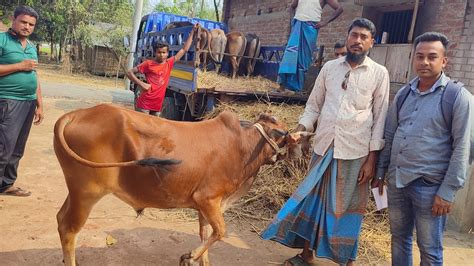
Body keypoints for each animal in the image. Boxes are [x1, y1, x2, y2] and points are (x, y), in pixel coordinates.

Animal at [53, 104, 310, 266]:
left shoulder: (206, 206)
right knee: (69, 229)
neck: (243, 146)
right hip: (88, 192)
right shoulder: (208, 199)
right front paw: (189, 257)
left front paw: (198, 259)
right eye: (286, 133)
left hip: (75, 191)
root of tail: (77, 114)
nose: (301, 151)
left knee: (60, 219)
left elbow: (206, 234)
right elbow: (220, 232)